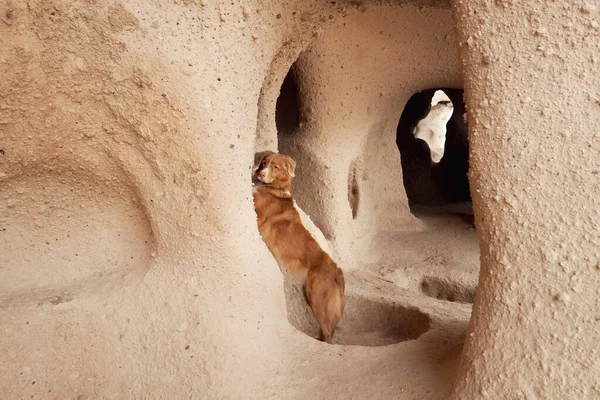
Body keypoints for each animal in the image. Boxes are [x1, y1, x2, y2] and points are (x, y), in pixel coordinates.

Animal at [252, 151, 346, 344]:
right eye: (264, 162)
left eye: (275, 167)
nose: (261, 174)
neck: (274, 189)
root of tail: (338, 270)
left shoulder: (258, 214)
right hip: (309, 296)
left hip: (318, 298)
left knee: (328, 330)